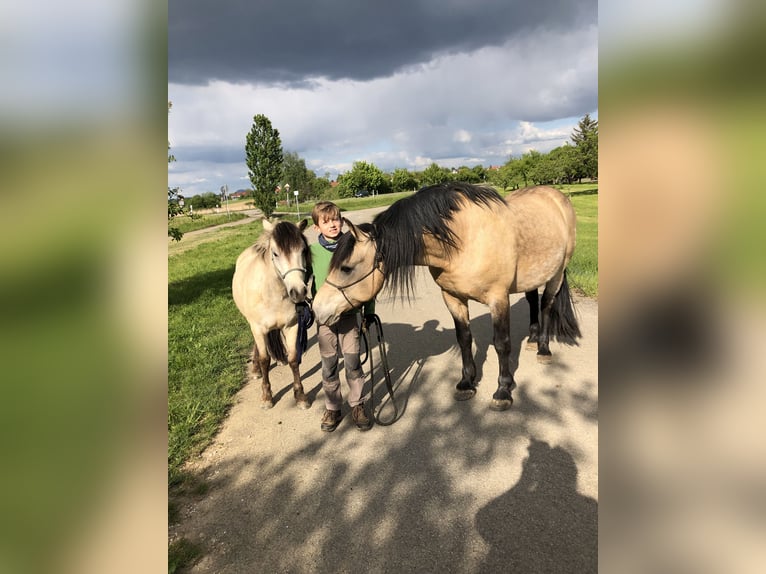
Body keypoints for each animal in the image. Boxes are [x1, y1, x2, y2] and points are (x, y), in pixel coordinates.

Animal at [231, 218, 312, 412]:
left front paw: (300, 397)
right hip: (252, 324)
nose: (298, 292)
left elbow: (293, 359)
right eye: (275, 253)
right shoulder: (258, 328)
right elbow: (264, 360)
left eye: (303, 250)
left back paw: (280, 359)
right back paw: (255, 371)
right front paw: (267, 397)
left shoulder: (292, 326)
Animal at [312, 182, 584, 412]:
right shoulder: (452, 297)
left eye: (346, 268)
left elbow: (501, 343)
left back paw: (544, 350)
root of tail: (557, 197)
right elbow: (464, 339)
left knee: (546, 306)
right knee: (532, 300)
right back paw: (533, 339)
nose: (317, 309)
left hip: (556, 274)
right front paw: (466, 382)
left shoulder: (498, 299)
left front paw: (503, 390)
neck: (463, 240)